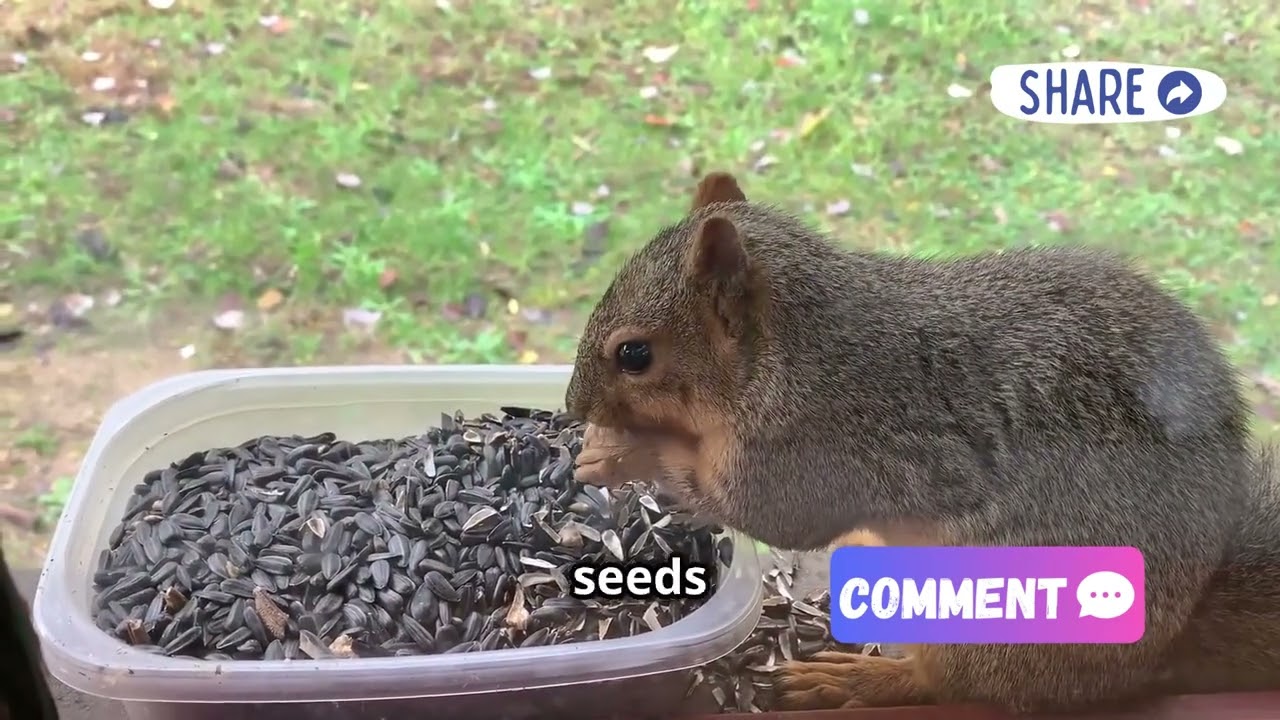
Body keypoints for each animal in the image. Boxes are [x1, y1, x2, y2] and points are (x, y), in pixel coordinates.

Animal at [564, 171, 1280, 713]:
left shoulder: (810, 447)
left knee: (948, 684)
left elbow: (769, 514)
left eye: (635, 354)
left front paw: (628, 451)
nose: (573, 406)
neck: (792, 351)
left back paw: (856, 679)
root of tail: (1161, 650)